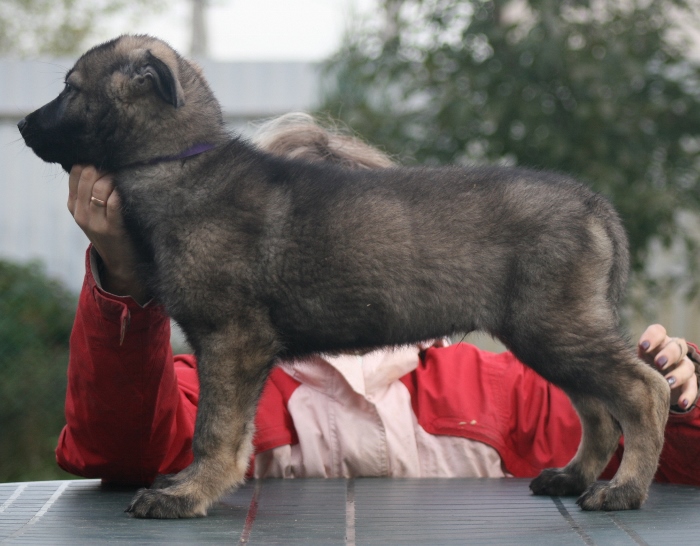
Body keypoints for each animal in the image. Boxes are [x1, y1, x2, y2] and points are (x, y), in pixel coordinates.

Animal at [19, 36, 668, 516]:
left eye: (71, 89)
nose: (22, 126)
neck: (181, 161)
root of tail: (594, 204)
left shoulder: (232, 338)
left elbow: (216, 428)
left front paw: (190, 493)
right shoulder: (225, 345)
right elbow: (224, 427)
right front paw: (191, 485)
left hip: (552, 325)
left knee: (643, 390)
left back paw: (623, 489)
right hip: (547, 332)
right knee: (597, 409)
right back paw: (574, 477)